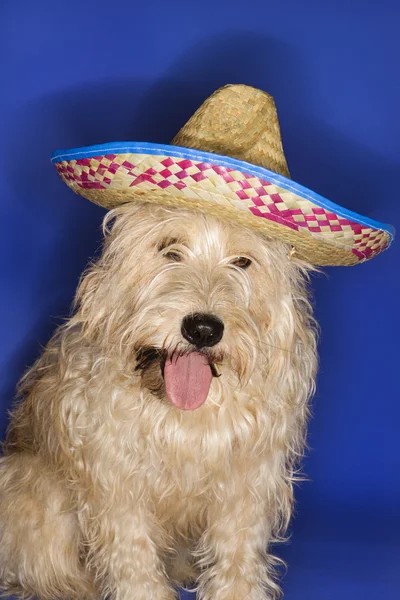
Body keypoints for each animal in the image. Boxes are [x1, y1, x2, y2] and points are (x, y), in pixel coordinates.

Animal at [0, 203, 318, 600]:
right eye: (170, 249)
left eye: (243, 261)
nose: (203, 329)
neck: (185, 418)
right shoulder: (116, 476)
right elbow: (132, 553)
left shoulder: (248, 476)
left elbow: (237, 549)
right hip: (36, 487)